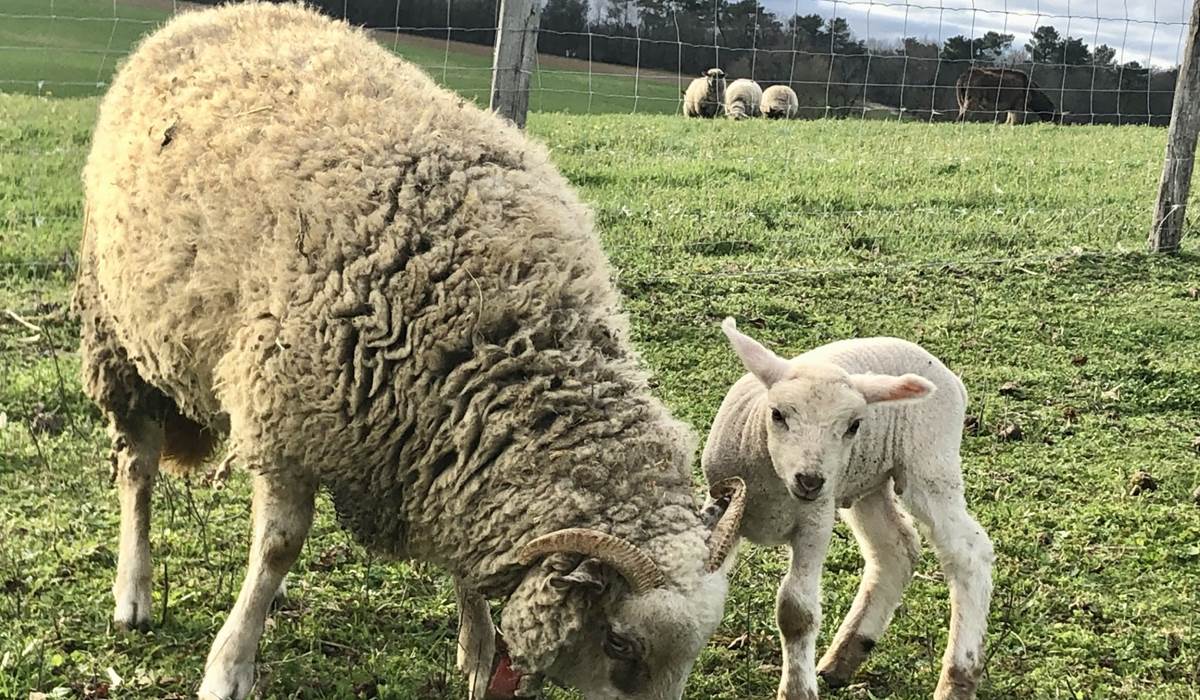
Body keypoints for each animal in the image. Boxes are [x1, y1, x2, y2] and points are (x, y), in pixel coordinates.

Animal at [73, 4, 747, 699]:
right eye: (618, 642)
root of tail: (204, 17)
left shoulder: (446, 455)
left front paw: (477, 648)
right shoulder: (286, 413)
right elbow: (278, 545)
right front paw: (230, 665)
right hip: (115, 331)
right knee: (137, 467)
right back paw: (134, 593)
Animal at [701, 319, 994, 700]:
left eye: (854, 425)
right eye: (777, 414)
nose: (810, 480)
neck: (774, 486)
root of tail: (949, 376)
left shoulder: (815, 521)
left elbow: (796, 611)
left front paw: (797, 690)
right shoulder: (721, 505)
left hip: (930, 465)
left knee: (968, 553)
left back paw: (956, 679)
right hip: (869, 482)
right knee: (896, 549)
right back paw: (844, 657)